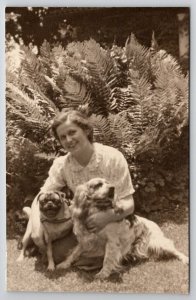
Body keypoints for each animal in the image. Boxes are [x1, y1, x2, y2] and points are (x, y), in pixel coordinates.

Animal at [57, 178, 188, 278]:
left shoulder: (112, 242)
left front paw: (103, 274)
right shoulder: (86, 241)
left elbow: (107, 259)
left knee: (175, 250)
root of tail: (154, 223)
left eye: (108, 182)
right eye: (98, 184)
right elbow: (74, 253)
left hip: (158, 242)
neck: (97, 211)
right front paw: (64, 264)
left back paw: (185, 259)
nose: (112, 188)